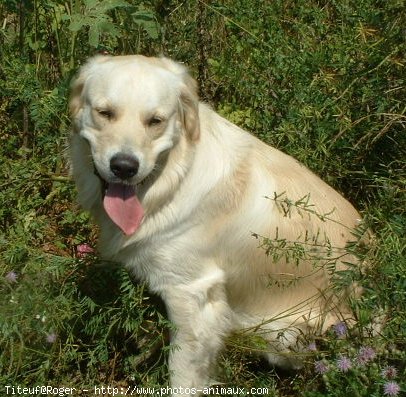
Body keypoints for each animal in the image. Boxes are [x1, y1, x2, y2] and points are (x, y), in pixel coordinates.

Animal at [69, 54, 362, 392]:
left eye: (155, 121)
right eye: (105, 113)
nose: (125, 167)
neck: (171, 181)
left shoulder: (193, 295)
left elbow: (183, 375)